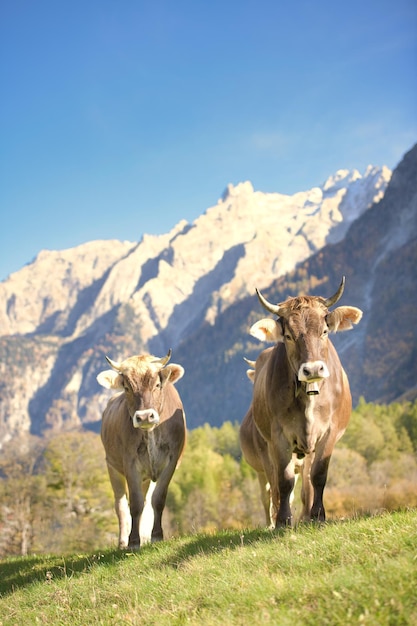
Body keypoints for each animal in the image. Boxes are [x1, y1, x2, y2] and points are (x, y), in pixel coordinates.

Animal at [97, 348, 185, 548]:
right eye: (127, 388)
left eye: (158, 384)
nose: (144, 416)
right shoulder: (130, 463)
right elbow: (135, 504)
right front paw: (133, 541)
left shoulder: (172, 460)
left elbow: (157, 500)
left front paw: (157, 536)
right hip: (112, 467)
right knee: (121, 506)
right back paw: (123, 541)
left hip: (146, 477)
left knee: (146, 501)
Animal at [240, 278, 360, 528]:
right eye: (288, 336)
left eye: (324, 331)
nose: (313, 369)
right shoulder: (278, 436)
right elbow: (284, 482)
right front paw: (283, 521)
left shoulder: (328, 432)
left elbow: (318, 476)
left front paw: (317, 516)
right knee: (272, 490)